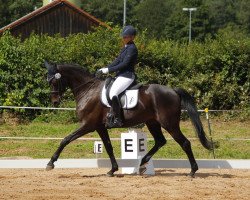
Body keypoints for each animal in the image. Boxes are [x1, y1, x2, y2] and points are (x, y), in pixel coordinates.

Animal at [44, 61, 214, 177]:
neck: (88, 90)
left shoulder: (88, 125)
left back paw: (192, 171)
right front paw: (112, 170)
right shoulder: (100, 127)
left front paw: (51, 163)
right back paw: (142, 163)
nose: (54, 102)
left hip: (169, 124)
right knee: (160, 141)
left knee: (184, 143)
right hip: (152, 122)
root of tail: (173, 90)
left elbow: (65, 140)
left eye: (54, 81)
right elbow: (108, 147)